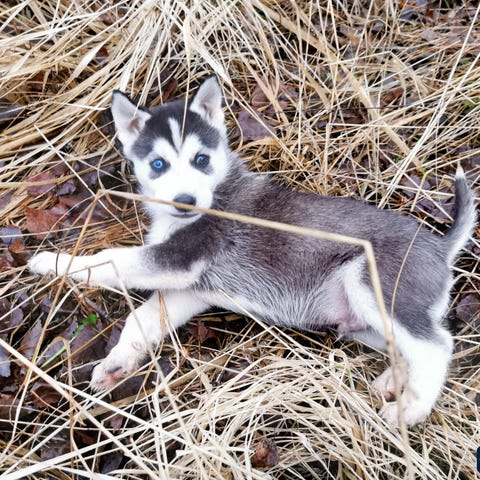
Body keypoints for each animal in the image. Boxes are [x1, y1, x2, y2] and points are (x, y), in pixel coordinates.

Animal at [28, 76, 476, 427]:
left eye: (201, 159)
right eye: (158, 164)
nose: (186, 200)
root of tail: (440, 244)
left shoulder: (178, 260)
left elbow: (111, 259)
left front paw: (53, 261)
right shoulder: (192, 288)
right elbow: (144, 319)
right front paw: (117, 363)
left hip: (374, 286)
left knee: (438, 347)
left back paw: (414, 406)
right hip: (361, 321)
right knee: (408, 346)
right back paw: (394, 381)